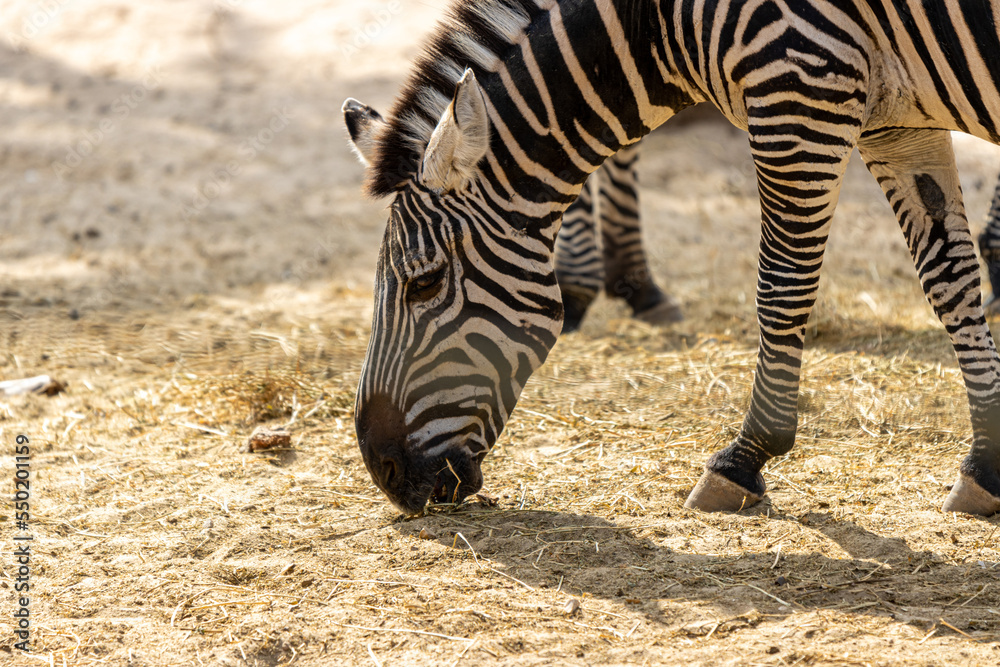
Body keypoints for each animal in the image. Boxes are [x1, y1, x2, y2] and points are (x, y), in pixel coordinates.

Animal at [342, 0, 1000, 517]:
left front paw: (744, 459)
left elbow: (781, 285)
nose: (383, 472)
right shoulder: (897, 123)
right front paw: (986, 463)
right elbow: (950, 280)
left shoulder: (798, 90)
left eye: (425, 284)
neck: (662, 21)